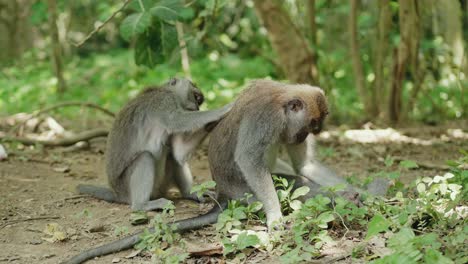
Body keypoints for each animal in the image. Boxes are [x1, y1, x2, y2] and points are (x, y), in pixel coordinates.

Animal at [77, 76, 233, 210]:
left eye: (199, 100)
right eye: (196, 97)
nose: (197, 108)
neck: (167, 91)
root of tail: (117, 193)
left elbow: (179, 151)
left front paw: (213, 123)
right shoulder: (163, 101)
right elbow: (176, 120)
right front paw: (223, 109)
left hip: (161, 184)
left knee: (171, 156)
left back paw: (190, 193)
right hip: (126, 188)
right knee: (145, 157)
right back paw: (142, 205)